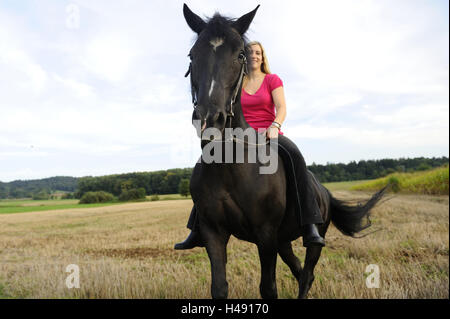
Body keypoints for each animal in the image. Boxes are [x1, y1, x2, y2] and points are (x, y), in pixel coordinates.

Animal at [181, 4, 384, 300]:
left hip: (310, 238)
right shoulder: (213, 232)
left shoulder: (265, 234)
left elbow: (268, 288)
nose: (210, 120)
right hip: (283, 241)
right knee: (299, 270)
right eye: (192, 55)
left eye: (240, 54)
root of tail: (325, 191)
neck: (229, 165)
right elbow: (219, 288)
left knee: (307, 272)